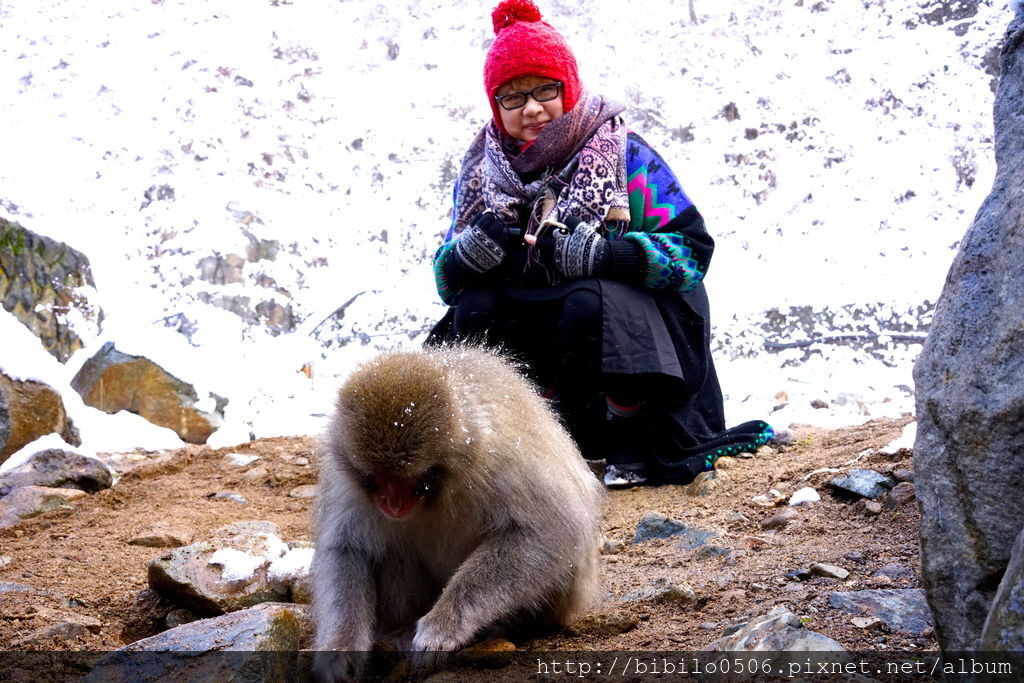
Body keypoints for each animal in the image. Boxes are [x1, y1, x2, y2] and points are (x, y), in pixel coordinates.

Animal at [307, 348, 602, 679]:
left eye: (413, 482)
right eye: (377, 480)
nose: (392, 505)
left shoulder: (503, 459)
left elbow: (551, 530)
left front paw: (443, 626)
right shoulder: (342, 478)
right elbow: (346, 550)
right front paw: (340, 648)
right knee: (393, 550)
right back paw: (399, 631)